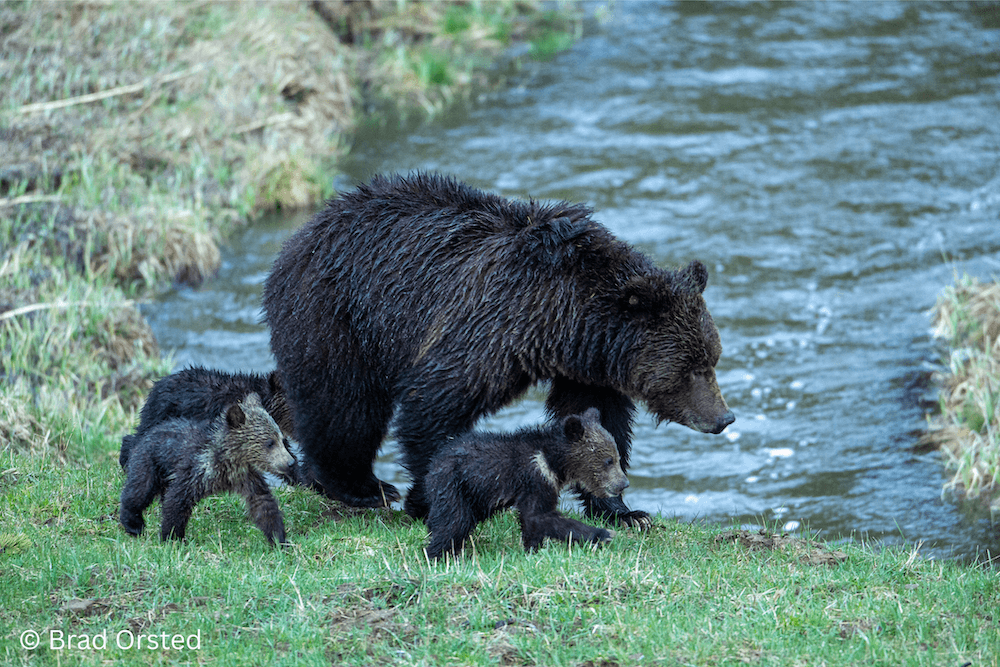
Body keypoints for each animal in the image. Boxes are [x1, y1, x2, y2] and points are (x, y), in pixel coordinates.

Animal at [119, 392, 296, 545]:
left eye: (282, 439)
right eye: (270, 443)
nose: (290, 462)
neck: (228, 460)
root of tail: (146, 434)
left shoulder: (246, 476)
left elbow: (263, 503)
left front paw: (280, 540)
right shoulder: (195, 470)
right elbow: (176, 500)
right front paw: (173, 537)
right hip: (149, 462)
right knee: (139, 490)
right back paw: (133, 524)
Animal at [262, 172, 734, 526]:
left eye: (712, 358)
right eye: (693, 367)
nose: (724, 418)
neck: (564, 319)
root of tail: (297, 238)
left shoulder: (586, 367)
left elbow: (599, 420)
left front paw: (623, 510)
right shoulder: (488, 329)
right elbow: (433, 405)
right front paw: (429, 499)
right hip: (336, 317)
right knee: (343, 403)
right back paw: (359, 487)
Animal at [424, 408, 630, 560]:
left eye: (617, 457)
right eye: (608, 460)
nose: (624, 483)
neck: (552, 461)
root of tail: (433, 463)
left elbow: (532, 522)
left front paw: (533, 549)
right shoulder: (535, 478)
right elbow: (539, 517)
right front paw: (603, 534)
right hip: (454, 485)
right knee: (453, 522)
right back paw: (439, 555)